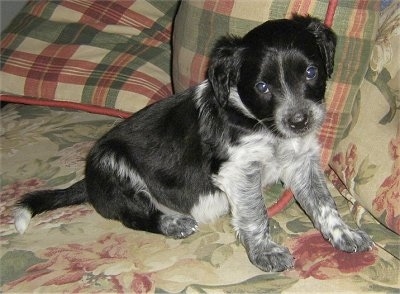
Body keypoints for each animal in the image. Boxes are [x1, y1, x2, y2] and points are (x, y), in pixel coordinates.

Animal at [14, 14, 374, 272]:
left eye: (311, 72)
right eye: (262, 87)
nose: (299, 121)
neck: (262, 125)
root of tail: (88, 183)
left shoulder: (302, 163)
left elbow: (323, 203)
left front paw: (344, 235)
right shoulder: (240, 171)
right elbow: (255, 214)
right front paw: (266, 253)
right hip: (113, 163)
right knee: (134, 215)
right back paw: (174, 223)